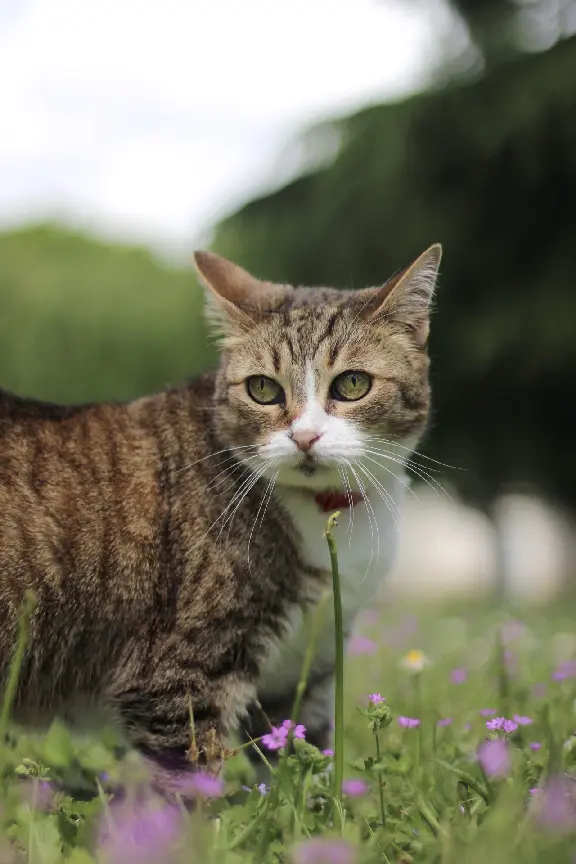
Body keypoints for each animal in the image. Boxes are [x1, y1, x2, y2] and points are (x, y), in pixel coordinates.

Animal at [0, 243, 440, 796]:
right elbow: (188, 785)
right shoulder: (178, 676)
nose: (305, 437)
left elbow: (302, 765)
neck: (324, 511)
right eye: (263, 389)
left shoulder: (306, 669)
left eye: (353, 384)